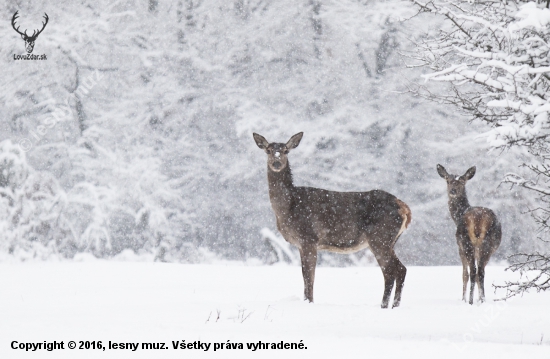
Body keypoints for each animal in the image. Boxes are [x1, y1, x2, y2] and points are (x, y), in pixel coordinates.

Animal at [252, 133, 412, 310]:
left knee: (392, 271)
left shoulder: (309, 238)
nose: (276, 163)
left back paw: (385, 306)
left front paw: (309, 302)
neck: (288, 209)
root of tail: (404, 207)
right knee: (399, 269)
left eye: (286, 150)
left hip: (380, 236)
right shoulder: (301, 244)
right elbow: (305, 275)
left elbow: (309, 277)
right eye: (268, 150)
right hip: (389, 241)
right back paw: (392, 306)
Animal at [438, 165, 502, 306]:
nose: (453, 191)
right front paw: (479, 298)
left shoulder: (459, 248)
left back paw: (471, 301)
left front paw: (463, 299)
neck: (458, 216)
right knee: (480, 272)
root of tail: (478, 219)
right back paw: (482, 300)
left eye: (462, 182)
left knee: (472, 271)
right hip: (487, 245)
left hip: (466, 242)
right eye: (448, 180)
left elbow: (464, 275)